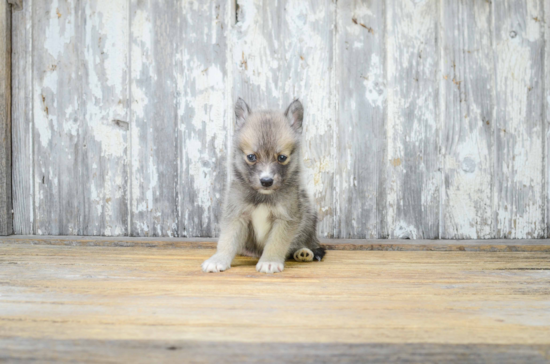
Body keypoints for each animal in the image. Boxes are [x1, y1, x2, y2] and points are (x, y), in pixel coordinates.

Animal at [204, 97, 328, 272]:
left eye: (282, 157)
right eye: (251, 157)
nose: (266, 181)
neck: (263, 196)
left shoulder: (285, 218)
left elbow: (276, 243)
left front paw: (270, 261)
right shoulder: (236, 215)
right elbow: (227, 240)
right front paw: (218, 259)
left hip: (309, 219)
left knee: (308, 243)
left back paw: (304, 252)